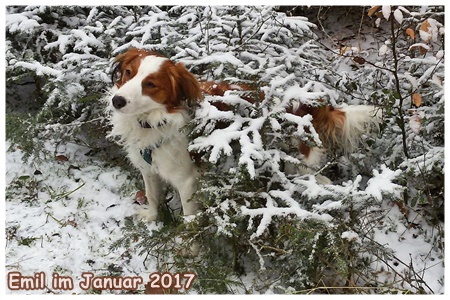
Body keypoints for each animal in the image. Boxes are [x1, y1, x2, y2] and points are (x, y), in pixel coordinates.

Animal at [107, 47, 382, 224]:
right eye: (129, 73)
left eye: (151, 85)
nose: (117, 100)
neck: (153, 122)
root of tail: (307, 102)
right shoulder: (149, 168)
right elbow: (153, 196)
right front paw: (152, 218)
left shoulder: (186, 180)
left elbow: (189, 219)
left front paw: (190, 251)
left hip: (301, 163)